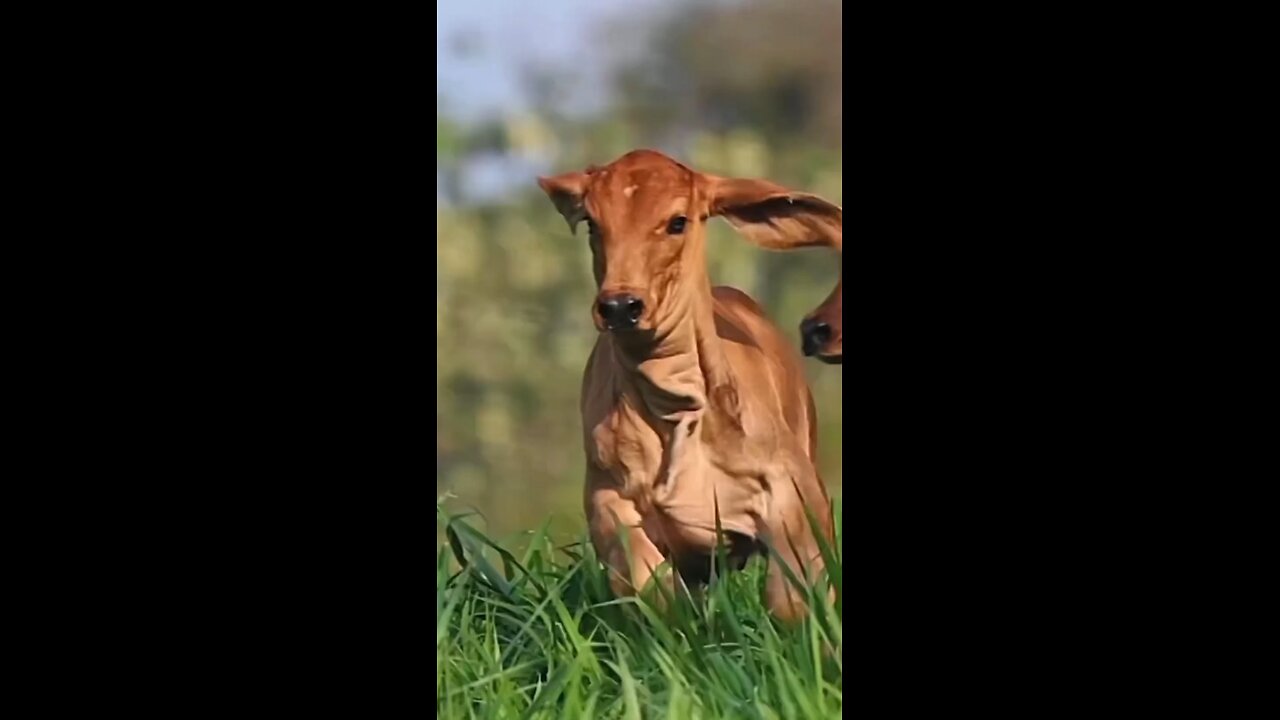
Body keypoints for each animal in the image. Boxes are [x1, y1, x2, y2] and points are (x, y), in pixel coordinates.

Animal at [537, 147, 844, 617]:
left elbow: (793, 601)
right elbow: (653, 592)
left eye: (677, 221)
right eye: (592, 222)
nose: (620, 306)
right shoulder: (610, 503)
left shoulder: (796, 500)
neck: (678, 412)